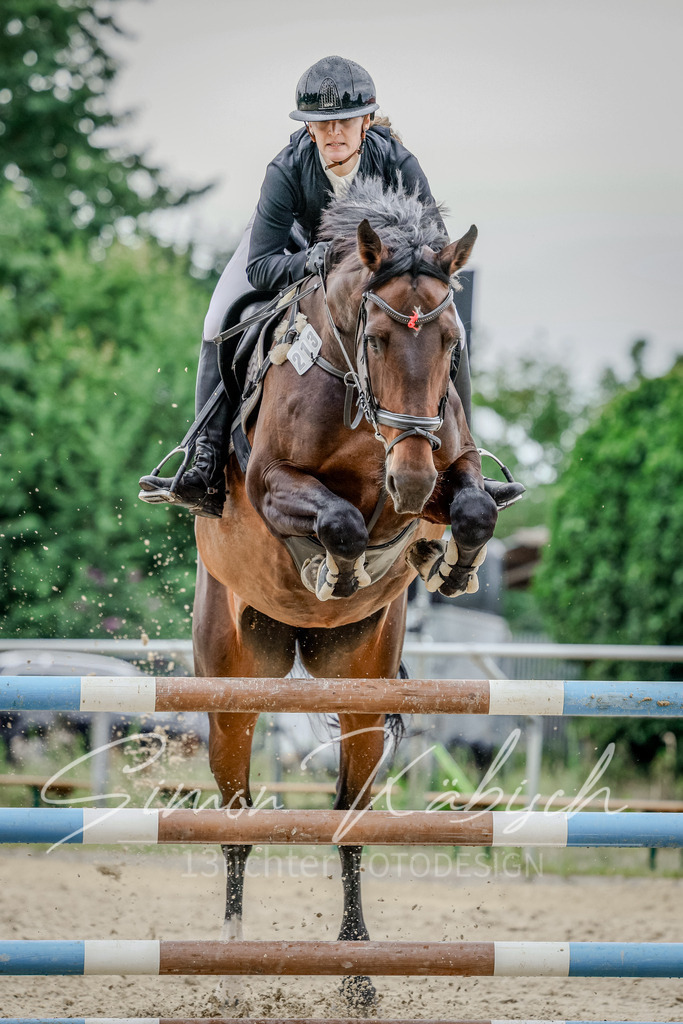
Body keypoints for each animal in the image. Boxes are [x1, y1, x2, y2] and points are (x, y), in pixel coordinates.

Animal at [193, 177, 498, 1010]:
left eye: (450, 342)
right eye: (380, 338)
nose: (412, 479)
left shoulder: (441, 465)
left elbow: (471, 508)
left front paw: (445, 563)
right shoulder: (273, 484)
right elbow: (337, 521)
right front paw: (335, 567)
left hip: (357, 687)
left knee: (349, 817)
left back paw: (358, 971)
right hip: (232, 685)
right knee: (238, 816)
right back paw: (229, 967)